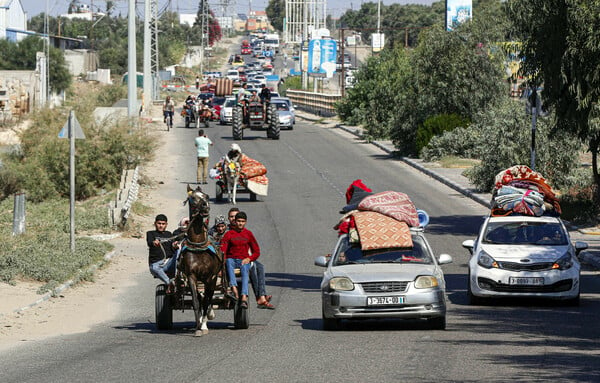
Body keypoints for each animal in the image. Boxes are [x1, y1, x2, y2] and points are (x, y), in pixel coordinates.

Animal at [179, 184, 226, 338]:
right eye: (193, 198)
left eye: (206, 196)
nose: (206, 207)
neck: (198, 247)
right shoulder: (191, 276)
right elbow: (196, 301)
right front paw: (198, 326)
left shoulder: (210, 277)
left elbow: (207, 300)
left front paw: (204, 325)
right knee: (201, 297)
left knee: (208, 297)